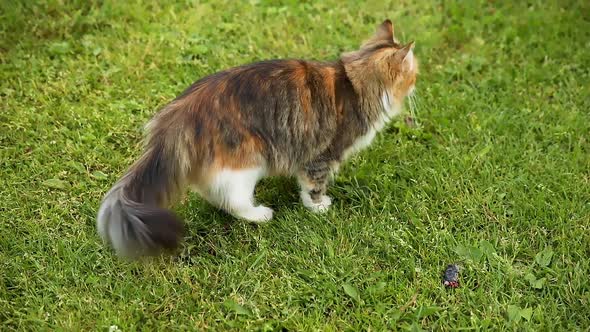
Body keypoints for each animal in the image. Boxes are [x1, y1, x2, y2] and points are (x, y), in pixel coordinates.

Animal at [98, 19, 420, 258]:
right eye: (414, 74)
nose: (418, 82)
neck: (355, 83)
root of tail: (180, 114)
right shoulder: (321, 156)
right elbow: (313, 186)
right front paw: (318, 207)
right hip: (248, 160)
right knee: (232, 200)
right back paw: (260, 214)